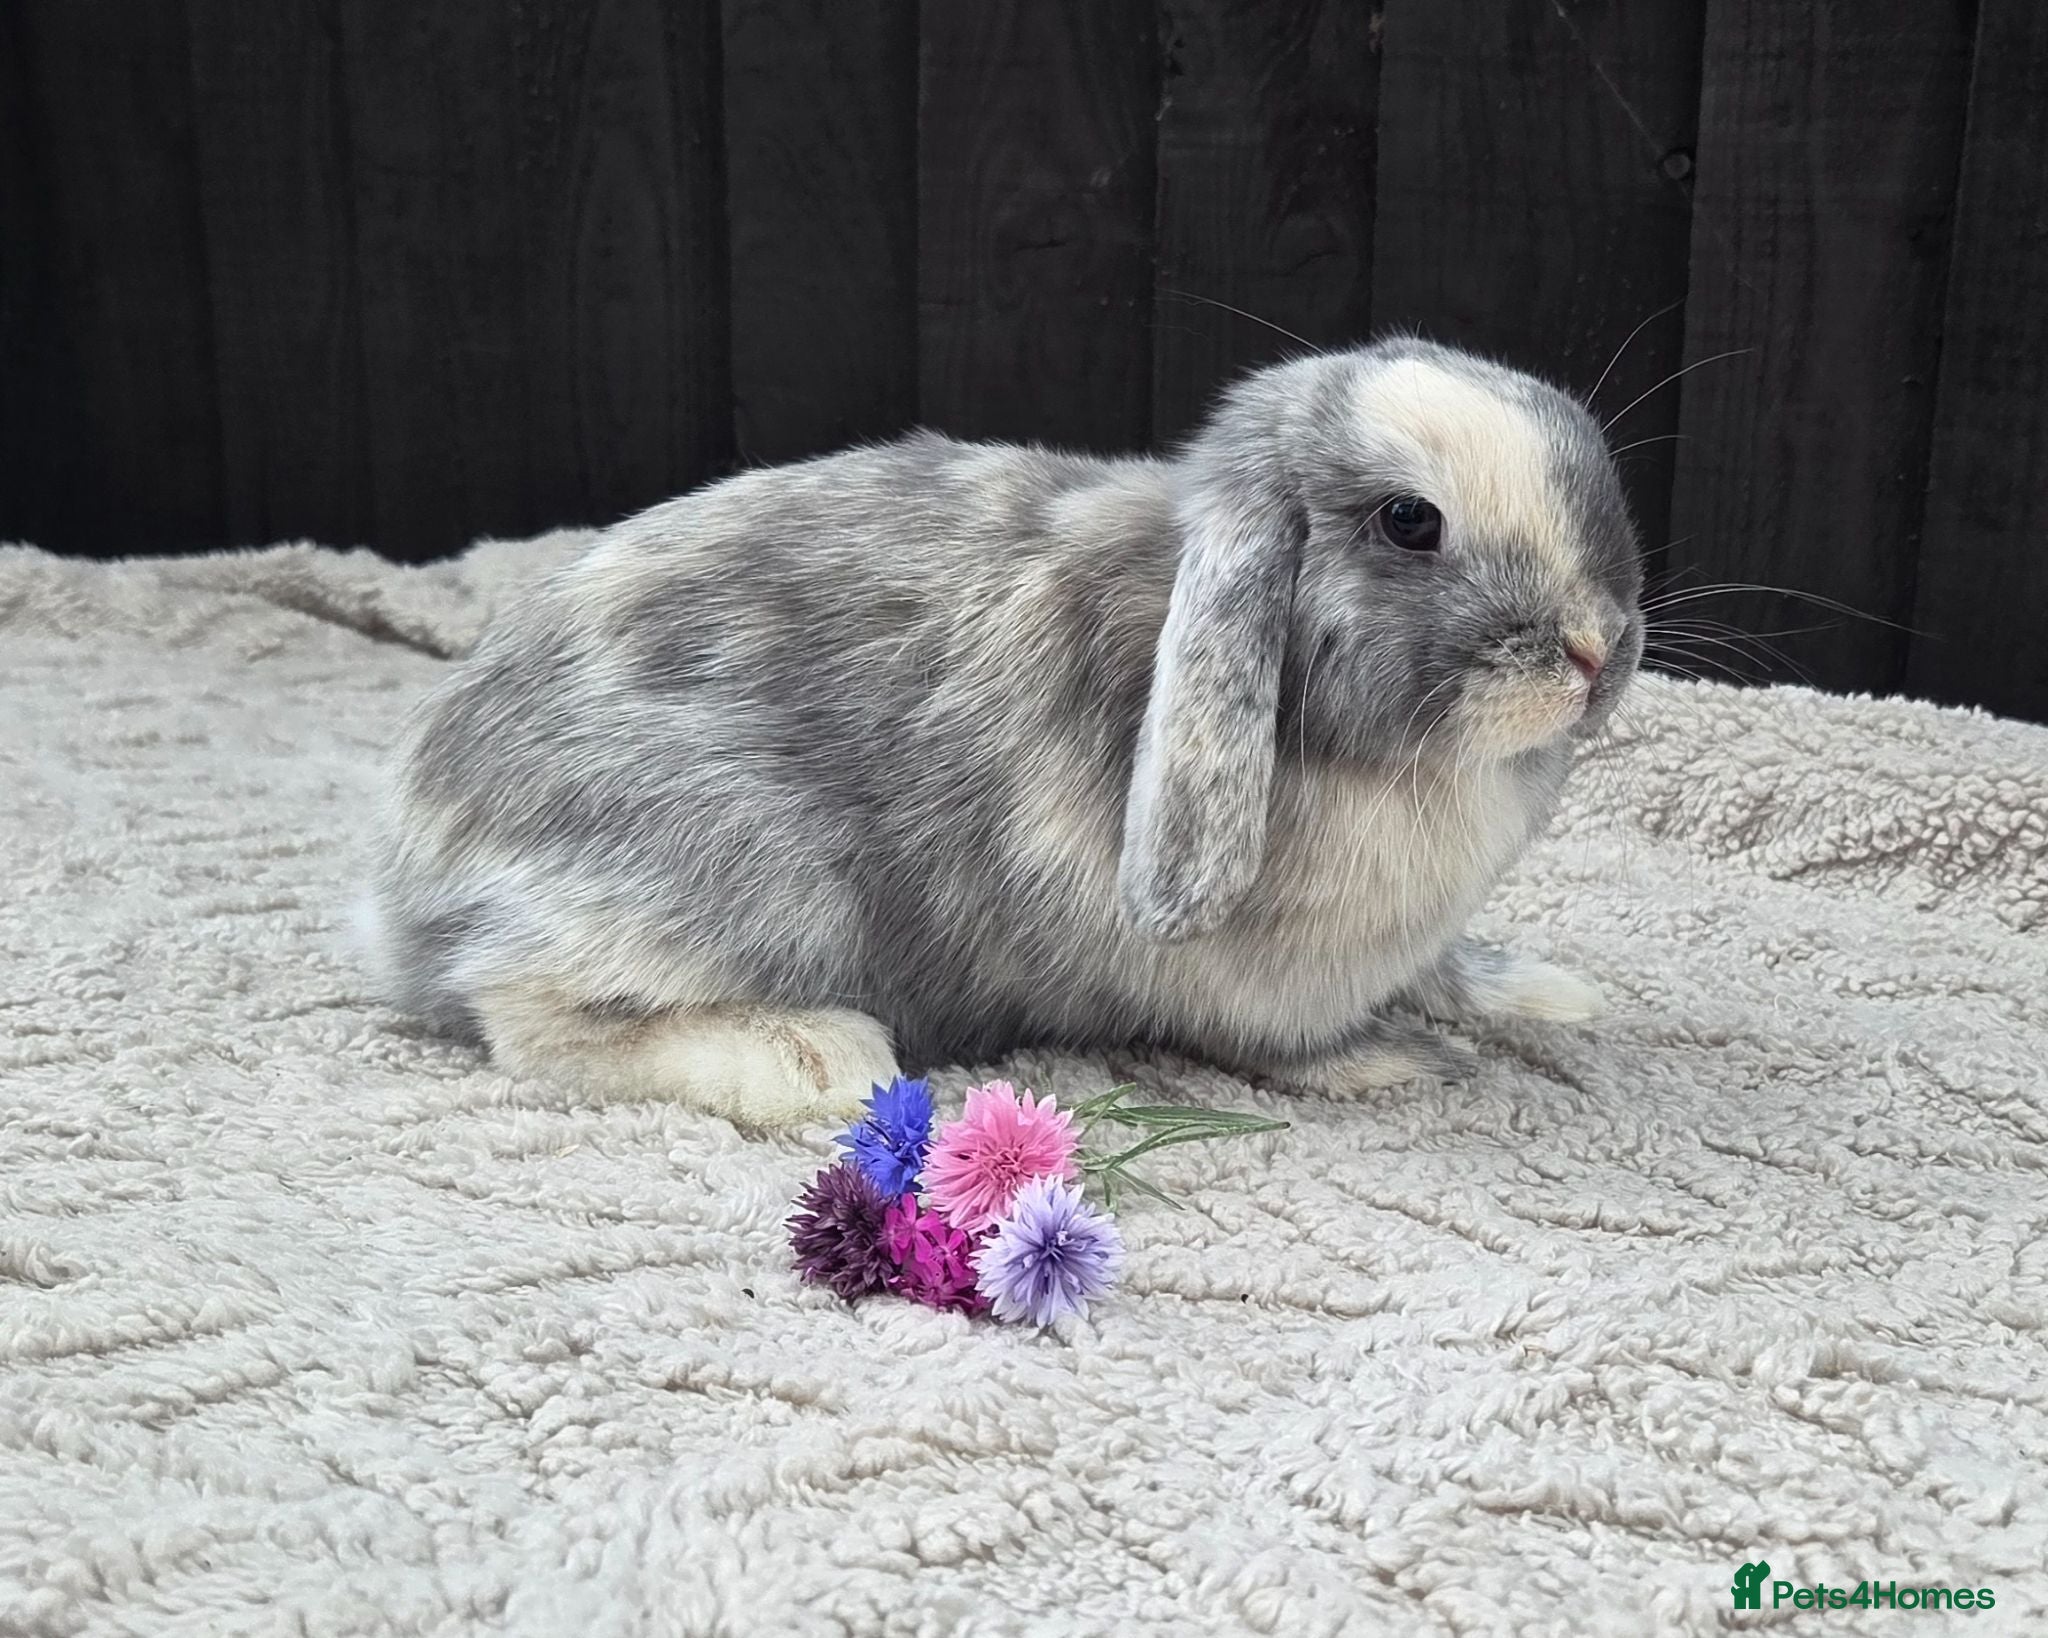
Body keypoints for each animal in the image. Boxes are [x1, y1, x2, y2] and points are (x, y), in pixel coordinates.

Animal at [365, 338, 1643, 1128]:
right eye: (1407, 521)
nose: (1596, 650)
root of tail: (403, 883)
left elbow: (1447, 973)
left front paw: (1543, 998)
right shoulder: (1255, 986)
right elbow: (1288, 1047)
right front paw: (1394, 1061)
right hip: (741, 877)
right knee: (524, 1009)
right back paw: (811, 1057)